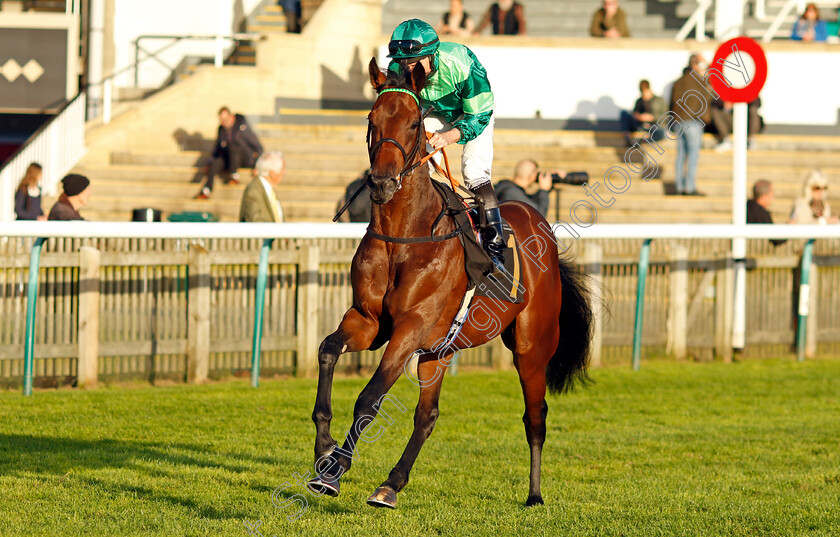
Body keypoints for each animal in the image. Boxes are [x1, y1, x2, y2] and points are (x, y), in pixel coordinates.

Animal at [306, 58, 592, 506]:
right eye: (372, 119)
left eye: (414, 124)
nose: (382, 183)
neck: (404, 236)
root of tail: (541, 225)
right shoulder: (368, 320)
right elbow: (328, 351)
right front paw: (324, 448)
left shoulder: (411, 326)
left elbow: (370, 398)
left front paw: (333, 471)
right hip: (438, 352)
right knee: (428, 416)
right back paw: (390, 485)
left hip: (531, 348)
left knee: (536, 417)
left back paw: (534, 494)